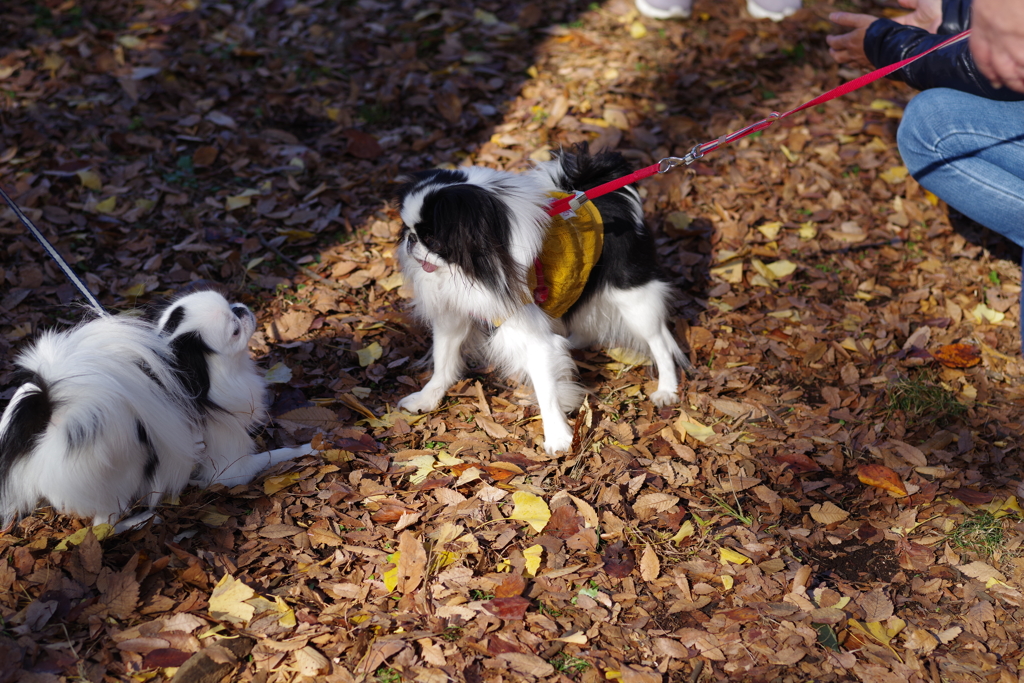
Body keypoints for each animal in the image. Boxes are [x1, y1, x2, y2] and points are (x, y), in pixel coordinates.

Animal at [0, 290, 311, 532]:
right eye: (234, 332)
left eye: (231, 304)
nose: (241, 309)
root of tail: (48, 421)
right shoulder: (231, 469)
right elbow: (276, 454)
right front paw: (309, 448)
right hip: (121, 475)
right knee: (103, 527)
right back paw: (139, 521)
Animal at [395, 144, 692, 454]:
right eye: (408, 229)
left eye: (432, 238)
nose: (411, 240)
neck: (479, 266)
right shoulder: (453, 315)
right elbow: (442, 362)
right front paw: (427, 398)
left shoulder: (531, 335)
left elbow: (546, 388)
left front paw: (557, 437)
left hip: (633, 299)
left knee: (659, 342)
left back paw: (666, 389)